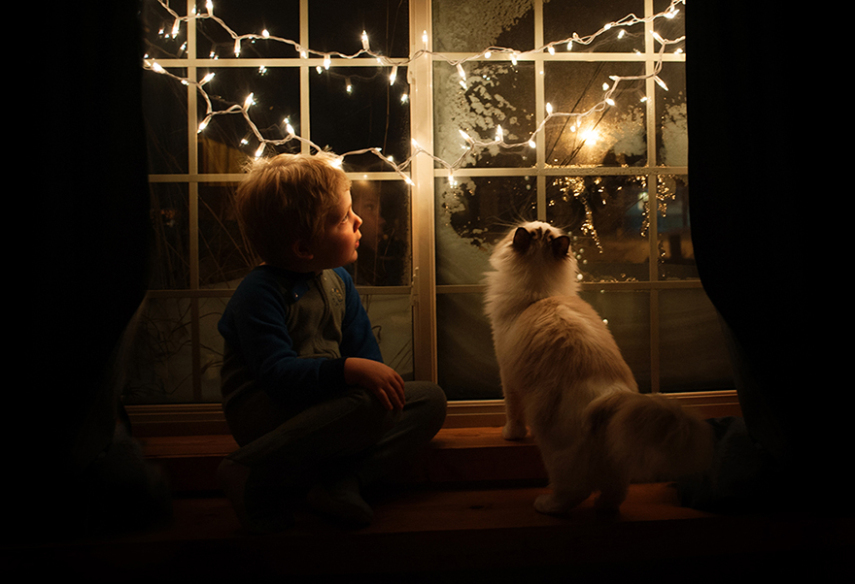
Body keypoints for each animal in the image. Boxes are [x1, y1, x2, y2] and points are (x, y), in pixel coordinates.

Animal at [484, 221, 712, 512]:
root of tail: (610, 399)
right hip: (615, 462)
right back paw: (602, 509)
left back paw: (546, 505)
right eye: (541, 227)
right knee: (615, 492)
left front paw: (511, 434)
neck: (540, 295)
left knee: (573, 491)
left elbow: (512, 412)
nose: (542, 222)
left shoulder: (508, 374)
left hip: (556, 455)